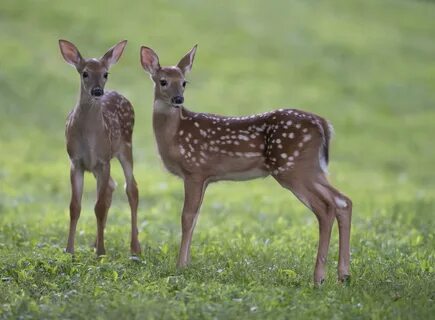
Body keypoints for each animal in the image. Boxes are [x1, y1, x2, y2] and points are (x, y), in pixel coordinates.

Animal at [59, 38, 141, 256]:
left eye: (105, 74)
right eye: (85, 73)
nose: (97, 91)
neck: (89, 136)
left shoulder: (104, 160)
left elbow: (100, 207)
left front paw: (101, 253)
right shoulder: (75, 161)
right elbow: (75, 207)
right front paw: (69, 250)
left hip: (126, 147)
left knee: (132, 189)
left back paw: (135, 247)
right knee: (112, 186)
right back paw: (95, 242)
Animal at [141, 43, 352, 284]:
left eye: (184, 82)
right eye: (163, 81)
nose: (178, 99)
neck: (175, 135)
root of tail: (323, 123)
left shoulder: (195, 170)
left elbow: (186, 217)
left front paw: (180, 266)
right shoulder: (206, 177)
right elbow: (195, 218)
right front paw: (187, 263)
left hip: (292, 168)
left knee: (325, 209)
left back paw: (319, 278)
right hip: (312, 168)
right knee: (342, 201)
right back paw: (344, 275)